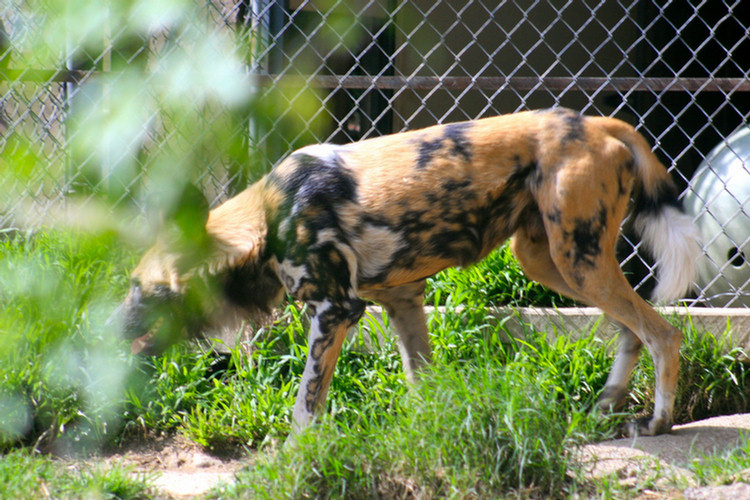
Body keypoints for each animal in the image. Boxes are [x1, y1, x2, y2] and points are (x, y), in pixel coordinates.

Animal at [123, 107, 704, 436]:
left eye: (145, 293)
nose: (110, 329)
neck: (266, 221)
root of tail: (595, 122)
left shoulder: (337, 310)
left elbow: (306, 408)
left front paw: (294, 461)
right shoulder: (402, 299)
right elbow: (423, 387)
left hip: (577, 264)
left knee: (662, 332)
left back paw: (658, 421)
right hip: (551, 261)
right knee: (632, 329)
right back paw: (606, 406)